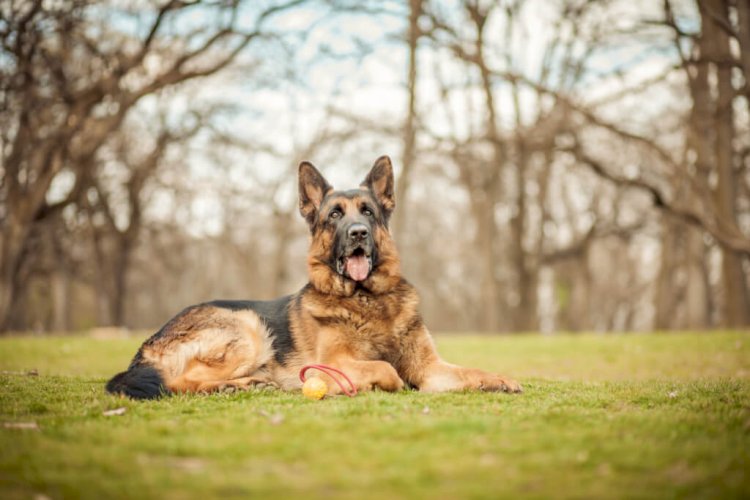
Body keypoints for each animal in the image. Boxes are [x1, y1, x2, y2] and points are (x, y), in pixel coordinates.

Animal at [107, 156, 524, 398]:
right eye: (335, 215)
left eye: (368, 212)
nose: (358, 233)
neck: (368, 299)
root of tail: (146, 347)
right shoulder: (337, 363)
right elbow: (387, 369)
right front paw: (377, 384)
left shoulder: (430, 368)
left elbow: (469, 372)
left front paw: (500, 379)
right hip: (247, 328)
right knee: (179, 382)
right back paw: (235, 385)